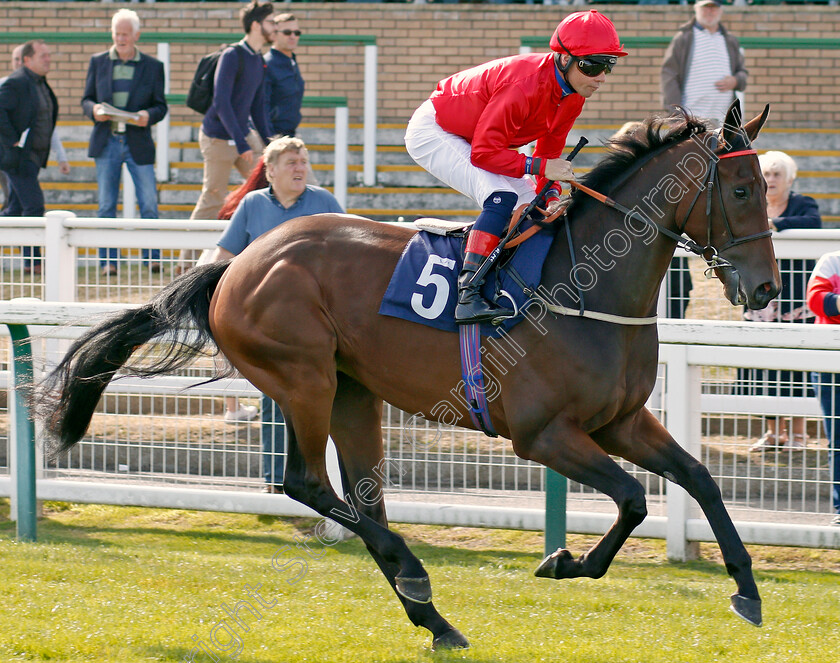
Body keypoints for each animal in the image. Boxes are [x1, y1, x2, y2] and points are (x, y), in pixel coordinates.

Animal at [34, 101, 780, 652]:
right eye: (742, 189)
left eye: (767, 191)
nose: (768, 288)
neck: (585, 286)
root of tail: (237, 264)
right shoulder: (542, 435)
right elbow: (631, 497)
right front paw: (566, 561)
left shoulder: (620, 419)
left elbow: (697, 478)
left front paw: (746, 589)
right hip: (305, 377)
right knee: (307, 482)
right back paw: (419, 580)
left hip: (354, 393)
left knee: (364, 501)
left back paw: (435, 618)